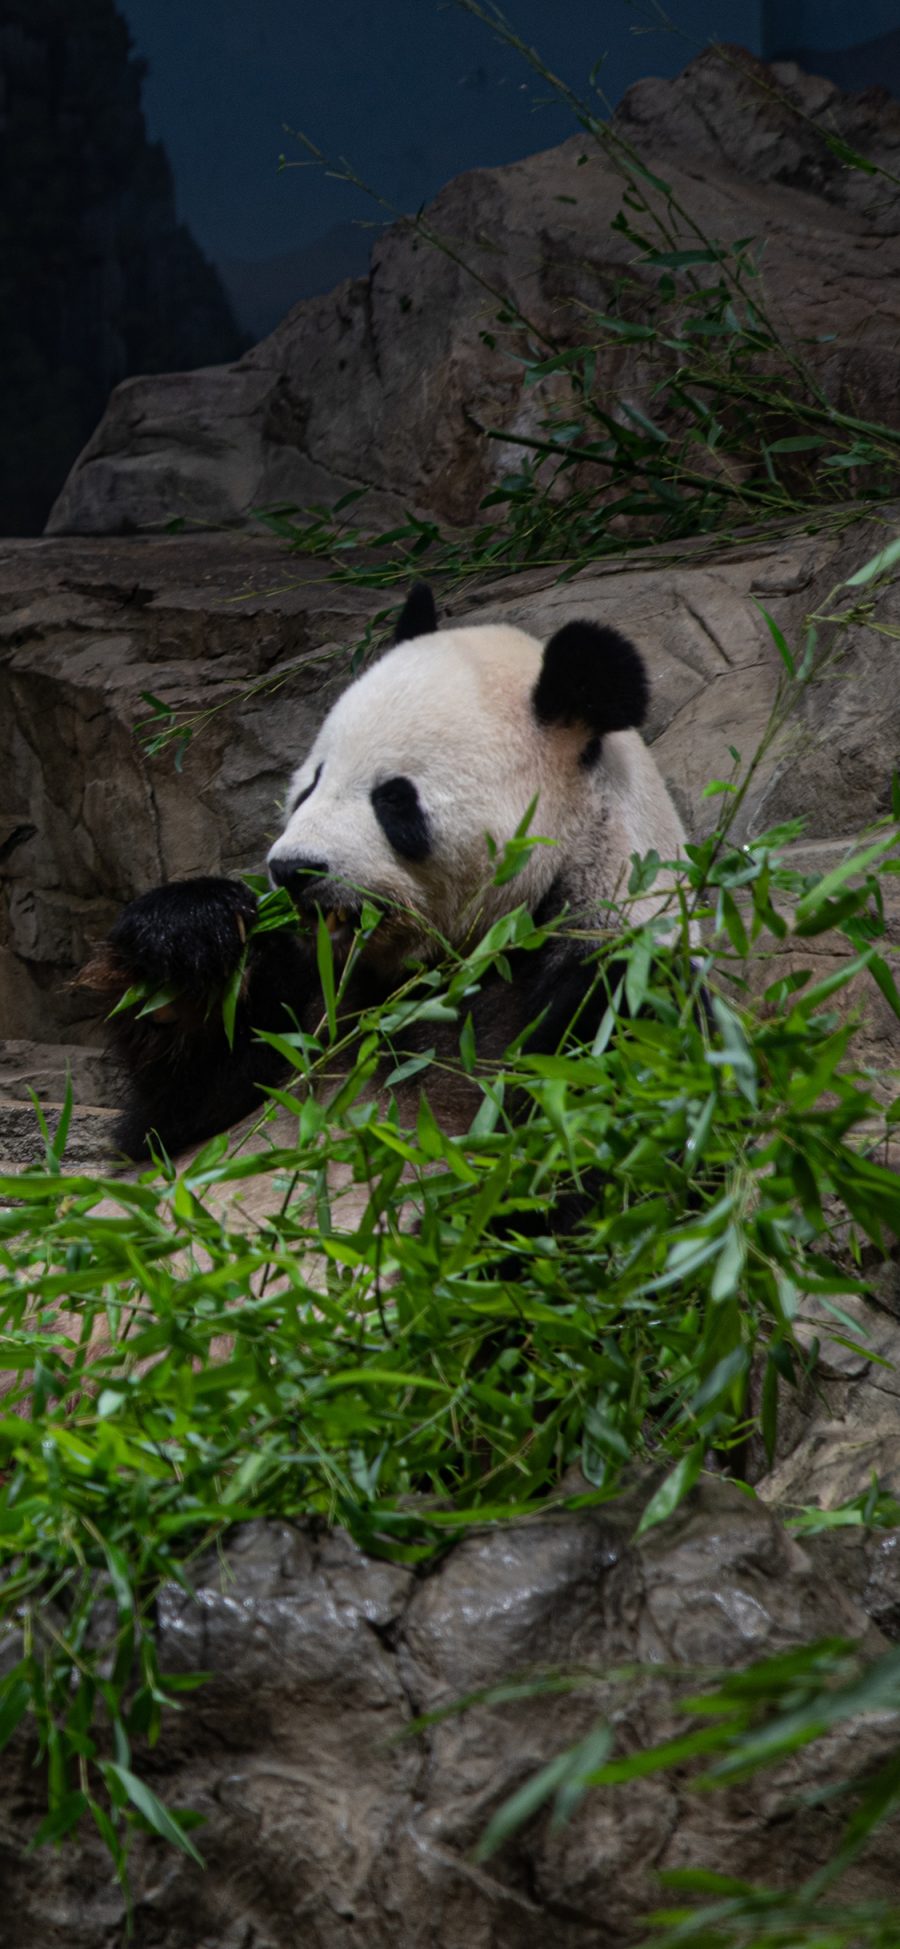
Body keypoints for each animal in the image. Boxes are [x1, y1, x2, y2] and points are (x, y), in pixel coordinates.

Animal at [94, 576, 689, 1153]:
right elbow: (183, 1105)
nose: (293, 869)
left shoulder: (614, 982)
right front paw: (191, 934)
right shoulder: (315, 999)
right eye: (311, 782)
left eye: (394, 800)